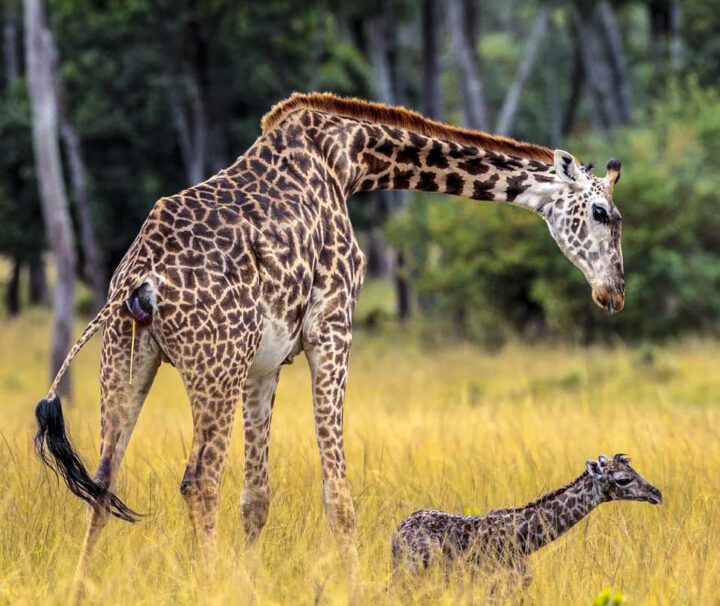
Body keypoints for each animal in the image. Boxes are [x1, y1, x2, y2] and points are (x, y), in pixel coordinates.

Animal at [33, 94, 620, 588]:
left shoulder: (265, 363)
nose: (614, 291)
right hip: (214, 364)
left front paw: (250, 586)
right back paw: (207, 585)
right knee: (199, 481)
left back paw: (81, 588)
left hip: (126, 358)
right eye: (603, 213)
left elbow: (257, 497)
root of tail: (139, 279)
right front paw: (353, 588)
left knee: (103, 480)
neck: (350, 158)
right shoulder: (333, 327)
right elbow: (338, 495)